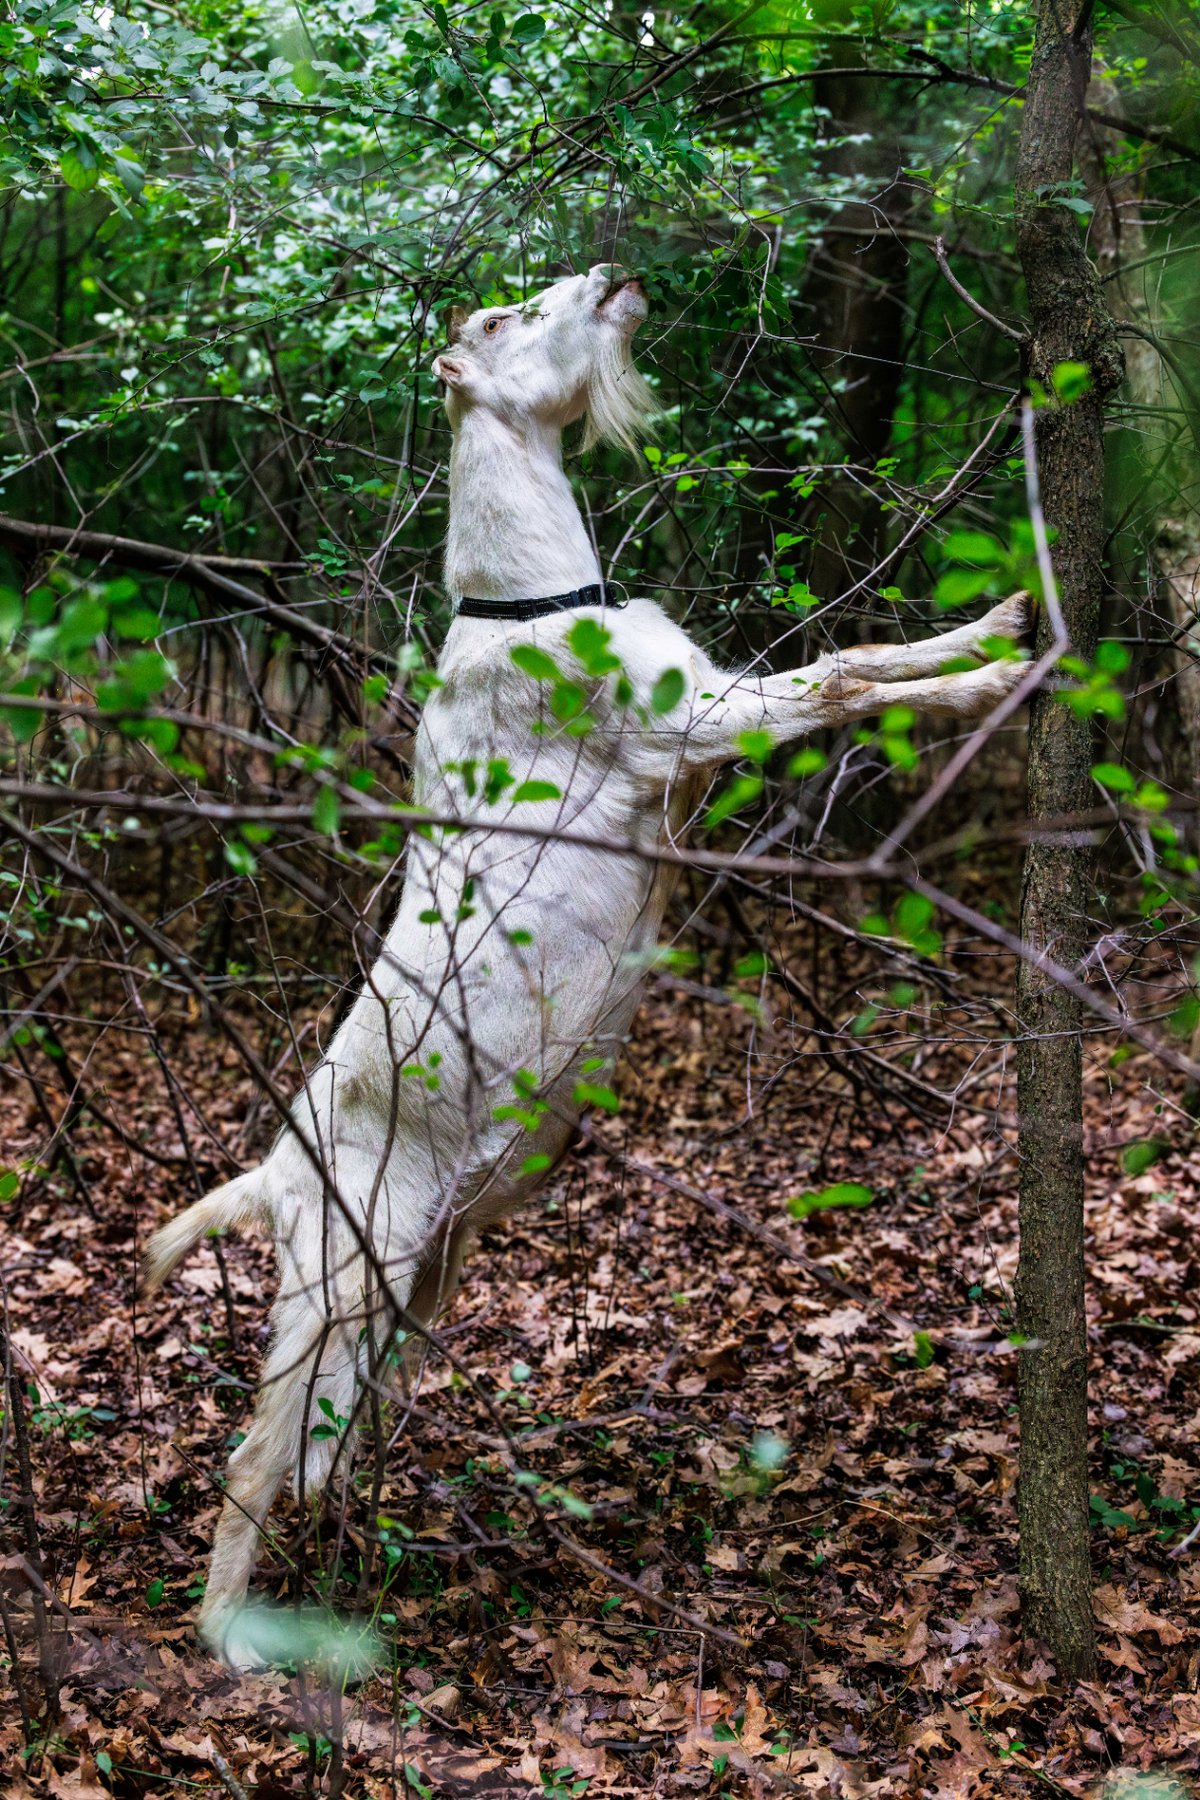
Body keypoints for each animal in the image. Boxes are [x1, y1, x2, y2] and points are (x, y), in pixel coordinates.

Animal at [142, 263, 1031, 1665]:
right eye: (504, 321)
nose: (609, 275)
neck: (532, 603)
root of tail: (271, 1174)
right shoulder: (691, 729)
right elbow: (843, 677)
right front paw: (993, 680)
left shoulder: (705, 723)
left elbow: (867, 654)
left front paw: (999, 619)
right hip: (339, 1279)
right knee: (250, 1458)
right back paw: (234, 1636)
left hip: (417, 1278)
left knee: (324, 1452)